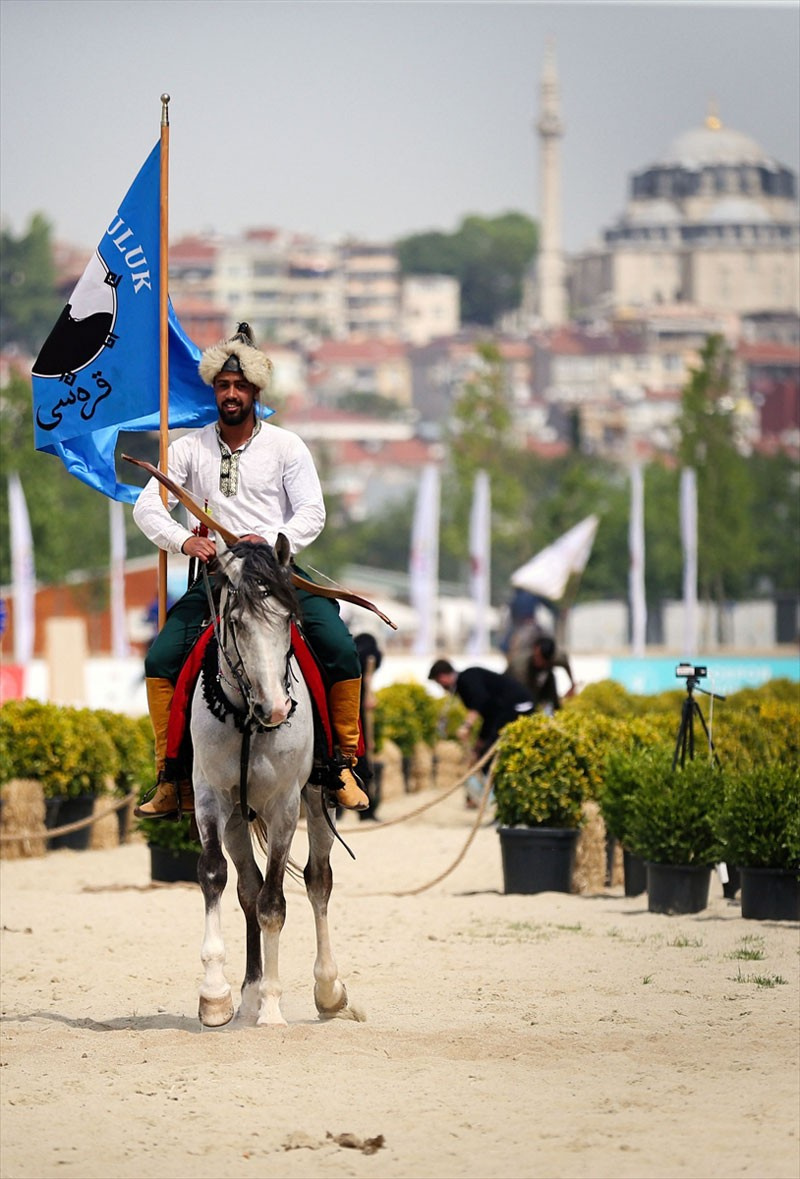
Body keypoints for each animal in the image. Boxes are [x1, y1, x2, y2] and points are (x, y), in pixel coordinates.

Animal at [190, 539, 360, 1028]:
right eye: (236, 622)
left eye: (287, 619)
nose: (277, 709)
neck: (248, 719)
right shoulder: (210, 798)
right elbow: (216, 876)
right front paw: (216, 995)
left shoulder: (285, 806)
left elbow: (275, 903)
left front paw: (271, 1006)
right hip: (236, 819)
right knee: (247, 887)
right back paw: (247, 994)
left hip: (318, 802)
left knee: (318, 881)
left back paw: (328, 990)